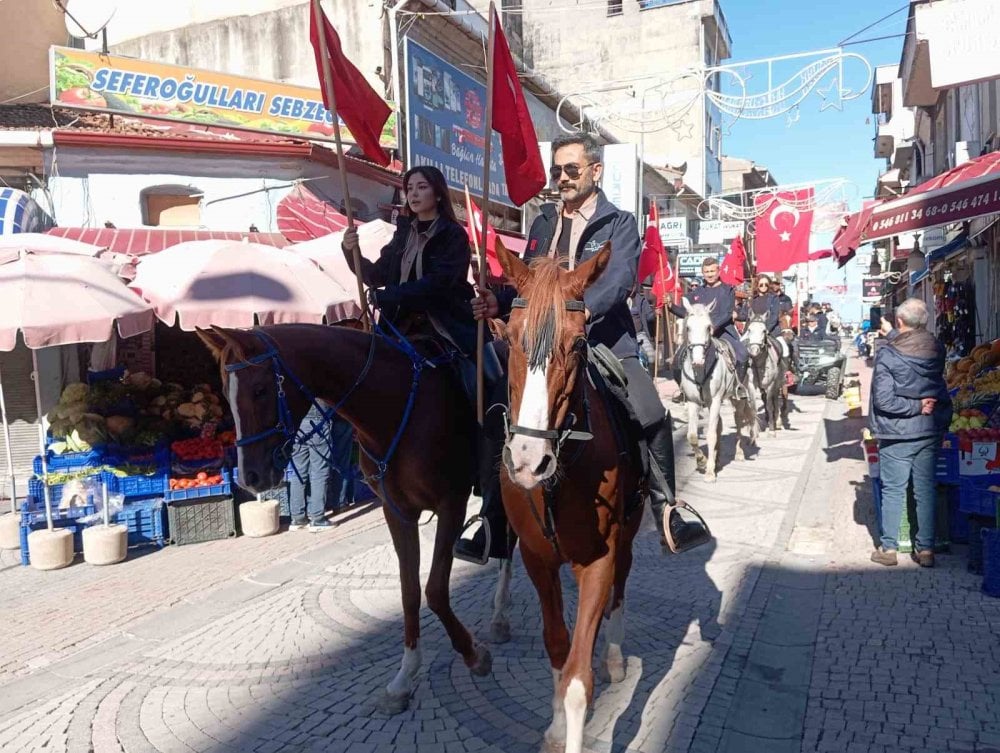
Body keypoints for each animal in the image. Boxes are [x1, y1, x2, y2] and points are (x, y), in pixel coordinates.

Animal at [196, 322, 492, 712]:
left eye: (260, 390)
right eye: (225, 395)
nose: (250, 477)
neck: (396, 409)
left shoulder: (452, 503)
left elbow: (436, 590)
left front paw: (473, 654)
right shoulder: (397, 512)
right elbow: (409, 591)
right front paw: (405, 675)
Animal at [496, 242, 644, 752]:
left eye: (579, 344)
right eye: (508, 338)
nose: (528, 460)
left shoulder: (598, 560)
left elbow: (579, 680)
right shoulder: (537, 560)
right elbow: (559, 651)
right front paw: (556, 727)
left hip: (629, 535)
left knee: (622, 585)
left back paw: (616, 656)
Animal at [680, 300, 756, 482]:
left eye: (708, 327)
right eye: (688, 327)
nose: (698, 360)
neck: (700, 371)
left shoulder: (714, 401)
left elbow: (711, 434)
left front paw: (709, 472)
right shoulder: (693, 402)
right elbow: (692, 435)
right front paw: (702, 461)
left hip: (737, 398)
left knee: (738, 421)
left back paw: (739, 453)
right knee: (720, 425)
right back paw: (718, 458)